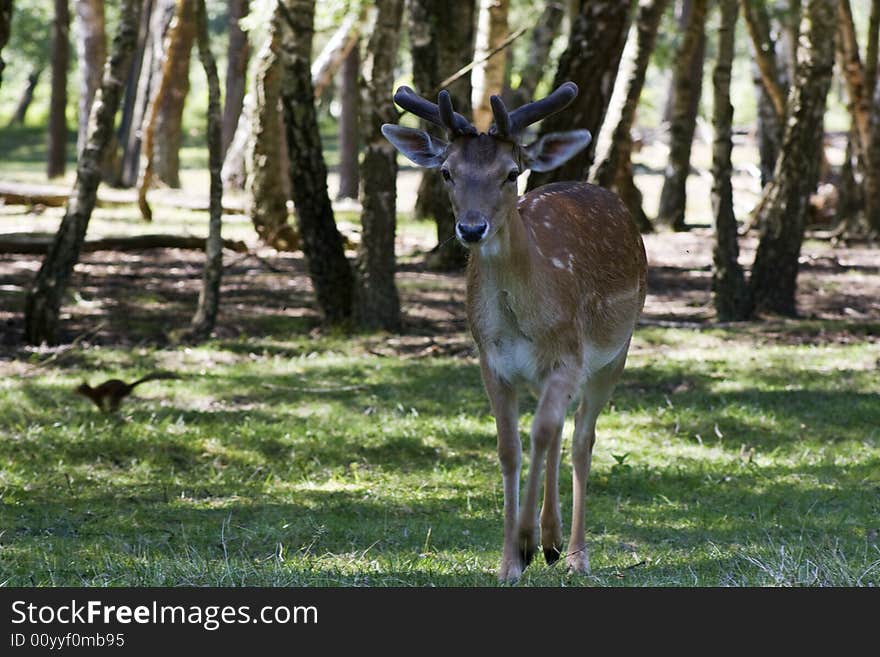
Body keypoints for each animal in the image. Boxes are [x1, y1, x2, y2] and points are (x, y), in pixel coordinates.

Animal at [384, 80, 648, 580]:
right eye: (446, 172)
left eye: (510, 173)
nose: (472, 228)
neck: (521, 321)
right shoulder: (491, 362)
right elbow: (511, 449)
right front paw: (510, 561)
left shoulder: (569, 356)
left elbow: (542, 434)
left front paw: (528, 543)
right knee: (561, 432)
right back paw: (552, 542)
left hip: (615, 353)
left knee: (580, 440)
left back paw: (574, 554)